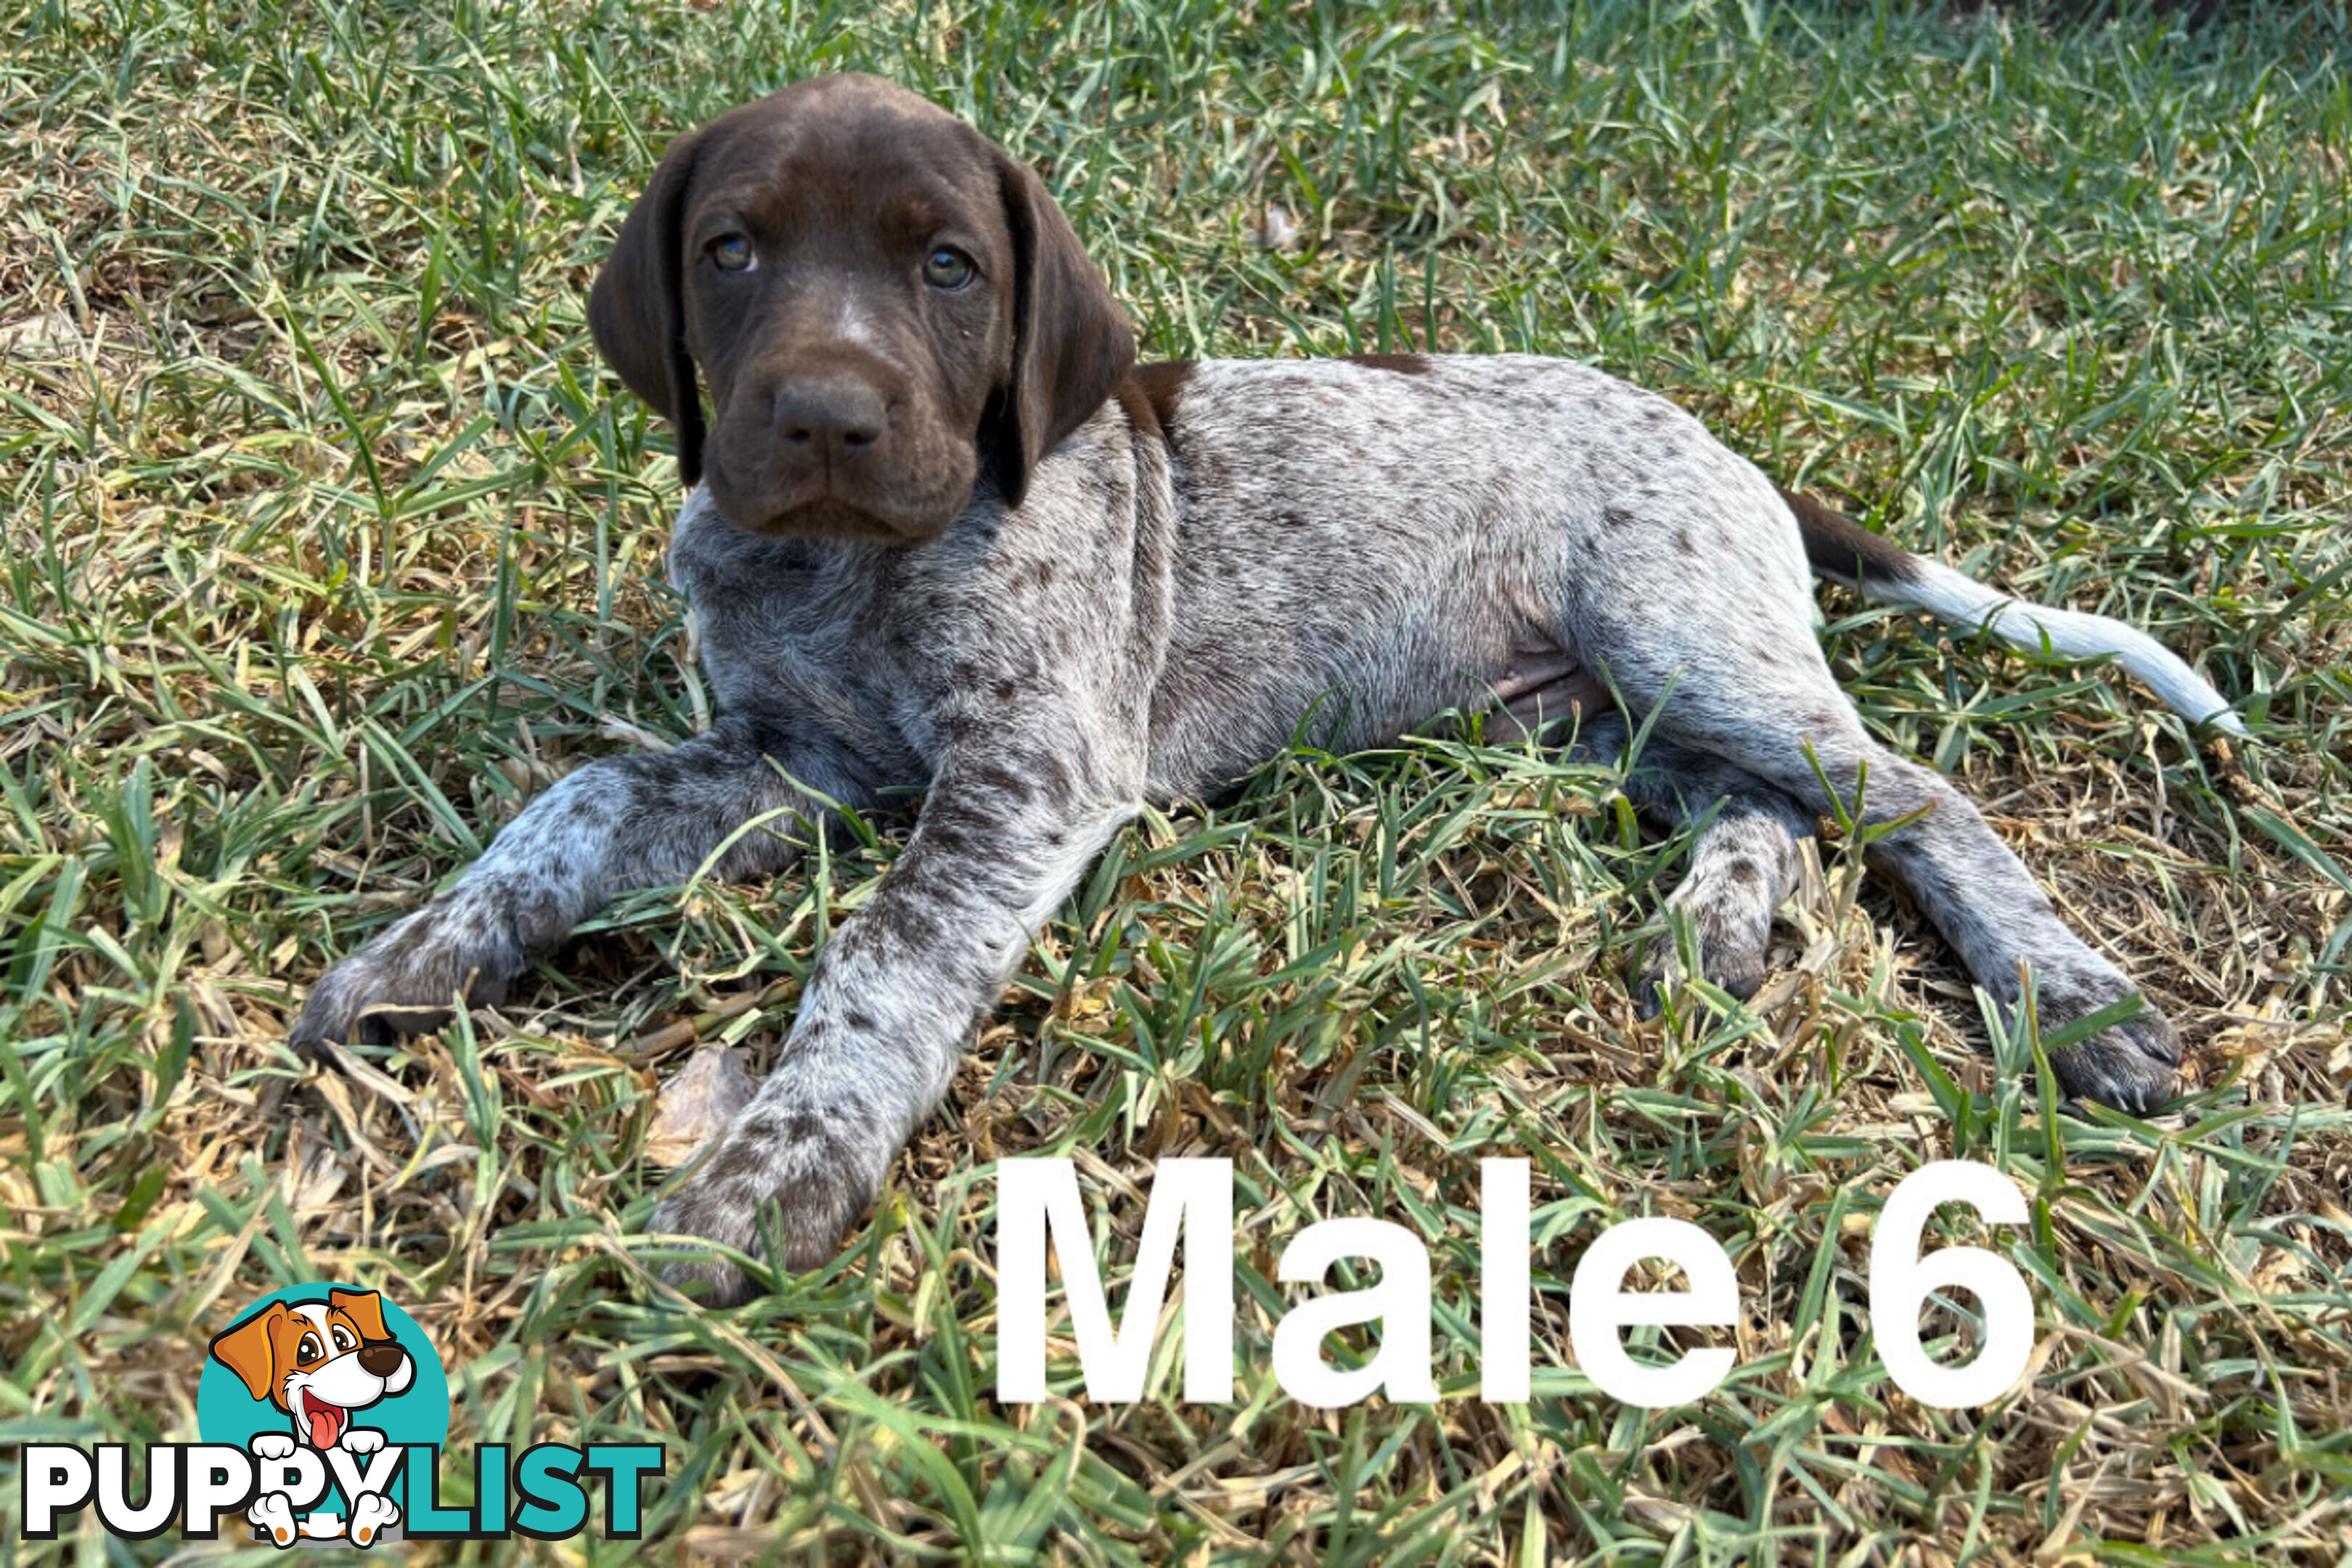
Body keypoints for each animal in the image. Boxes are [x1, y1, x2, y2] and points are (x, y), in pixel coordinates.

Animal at [289, 73, 2239, 1307]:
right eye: (732, 251)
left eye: (948, 267)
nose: (824, 421)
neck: (847, 571)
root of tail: (1737, 457)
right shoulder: (784, 758)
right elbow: (578, 799)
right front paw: (428, 948)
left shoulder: (1021, 780)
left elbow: (882, 964)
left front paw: (777, 1167)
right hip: (1610, 712)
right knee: (1765, 807)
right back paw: (1713, 930)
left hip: (1688, 643)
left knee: (1915, 798)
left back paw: (2069, 995)